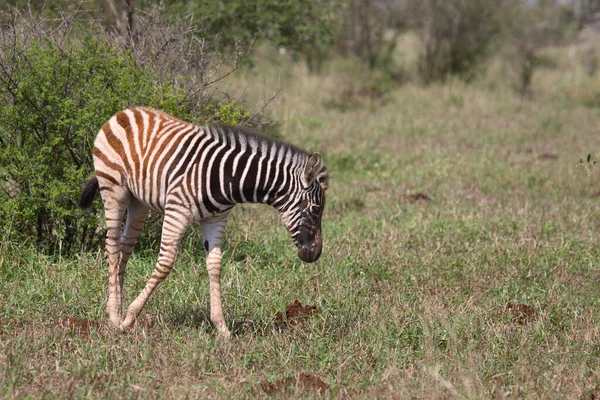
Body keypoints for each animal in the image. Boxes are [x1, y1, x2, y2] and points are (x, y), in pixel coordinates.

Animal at [79, 106, 328, 338]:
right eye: (316, 209)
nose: (315, 254)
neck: (228, 177)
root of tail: (125, 111)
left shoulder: (216, 218)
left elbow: (215, 266)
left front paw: (222, 328)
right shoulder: (177, 211)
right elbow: (165, 264)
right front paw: (129, 318)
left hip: (139, 201)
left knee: (124, 247)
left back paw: (115, 307)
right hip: (113, 188)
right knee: (111, 246)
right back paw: (115, 317)